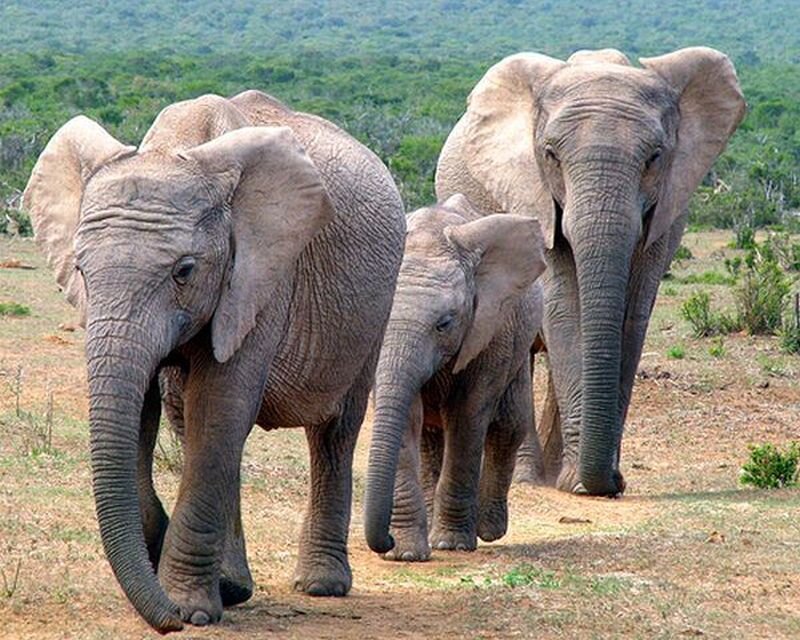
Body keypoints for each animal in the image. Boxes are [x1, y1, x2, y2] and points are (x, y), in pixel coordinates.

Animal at [23, 89, 406, 632]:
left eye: (184, 271)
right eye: (80, 269)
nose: (168, 621)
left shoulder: (262, 275)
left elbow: (220, 405)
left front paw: (190, 610)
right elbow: (154, 411)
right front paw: (183, 574)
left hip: (374, 310)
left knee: (334, 431)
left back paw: (320, 586)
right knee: (201, 426)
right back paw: (234, 586)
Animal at [364, 194, 546, 560]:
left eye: (444, 323)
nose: (384, 540)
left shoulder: (490, 331)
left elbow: (467, 417)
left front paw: (452, 544)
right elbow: (408, 417)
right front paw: (405, 553)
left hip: (518, 342)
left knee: (508, 425)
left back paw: (487, 530)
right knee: (431, 437)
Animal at [435, 47, 745, 496]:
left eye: (654, 157)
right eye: (550, 154)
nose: (610, 481)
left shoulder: (667, 211)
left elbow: (632, 317)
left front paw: (596, 481)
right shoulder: (531, 196)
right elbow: (564, 309)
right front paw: (582, 485)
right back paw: (531, 478)